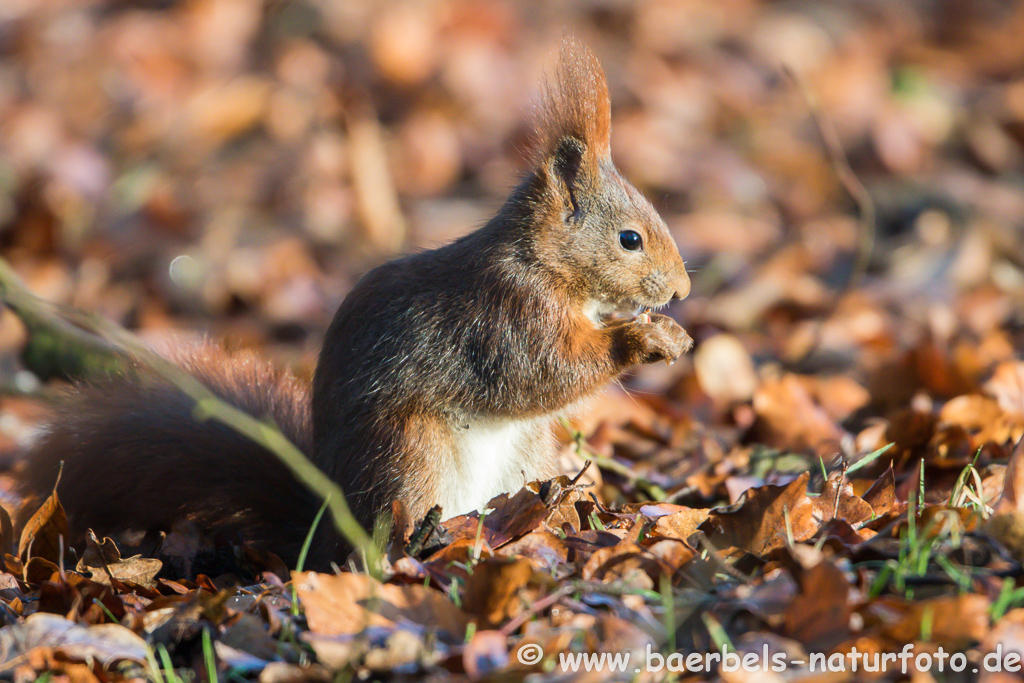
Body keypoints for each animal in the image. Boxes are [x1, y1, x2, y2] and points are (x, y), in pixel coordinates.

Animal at [16, 38, 692, 573]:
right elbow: (544, 372)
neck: (544, 264)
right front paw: (642, 339)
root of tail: (324, 529)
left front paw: (671, 333)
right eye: (630, 239)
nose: (682, 291)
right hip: (409, 450)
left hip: (525, 453)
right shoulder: (505, 316)